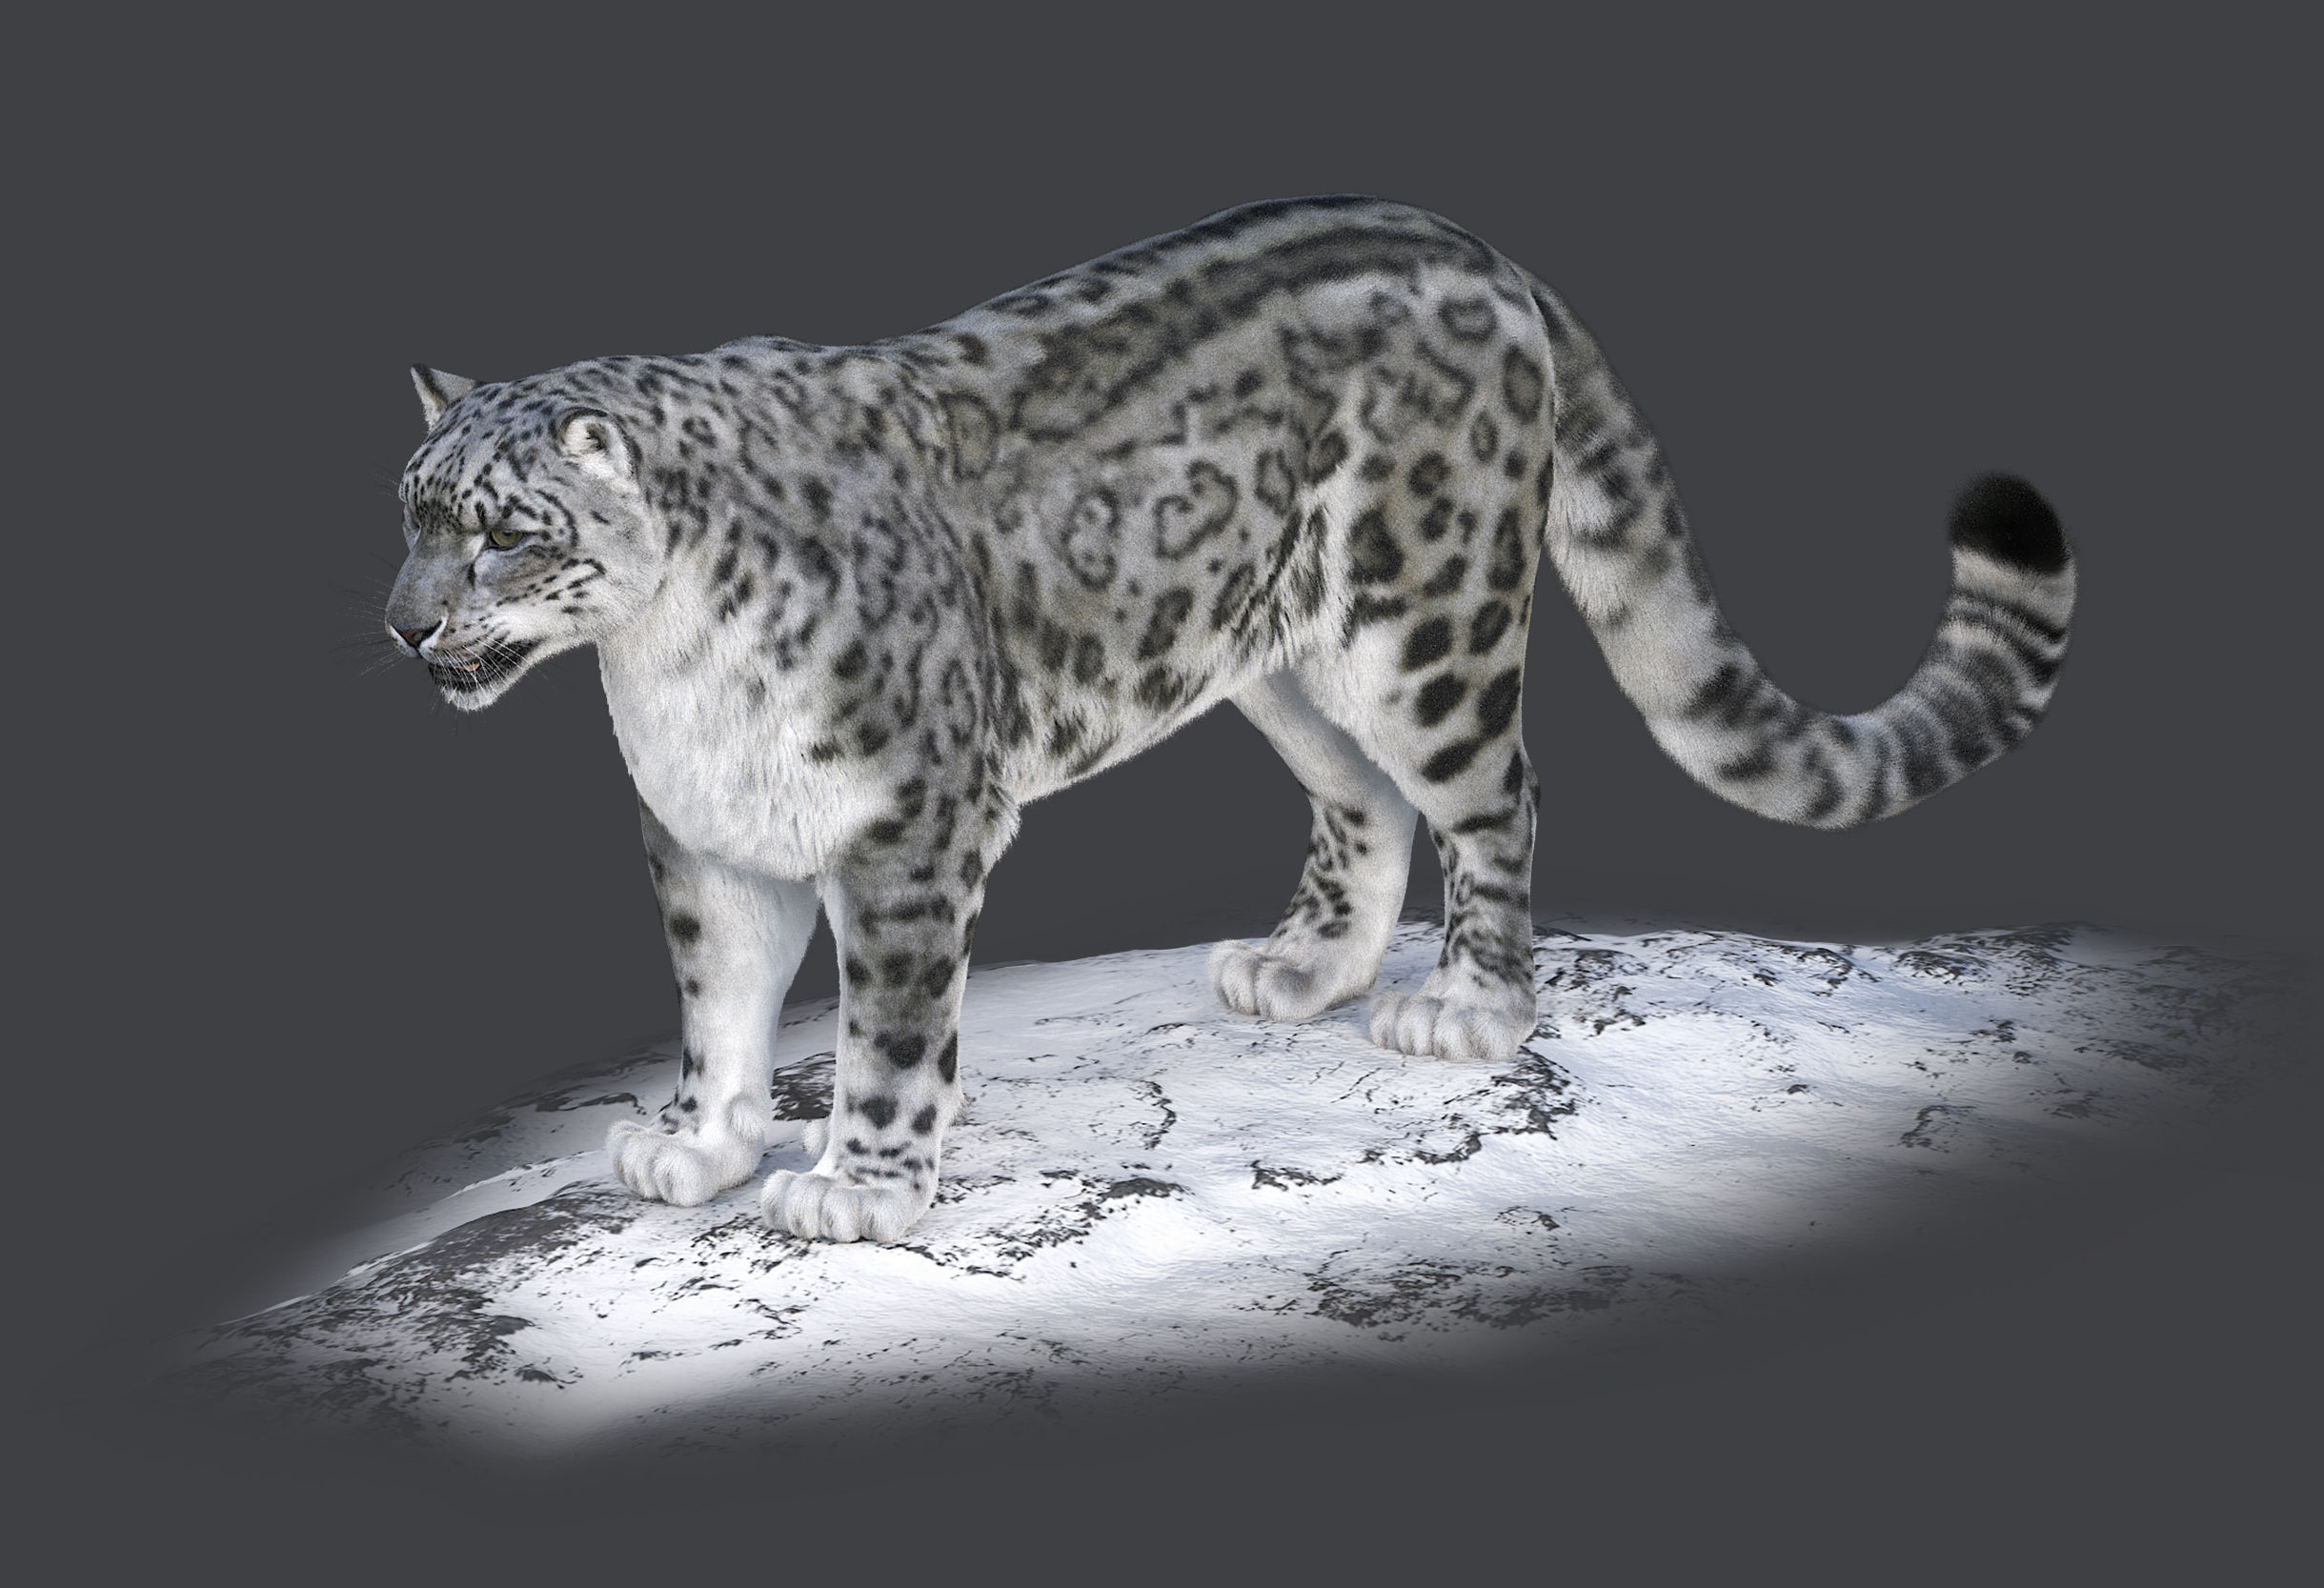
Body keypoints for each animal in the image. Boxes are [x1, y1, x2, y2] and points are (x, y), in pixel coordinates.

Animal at [387, 195, 2076, 1245]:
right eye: (405, 513)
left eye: (505, 536)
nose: (403, 623)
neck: (664, 675)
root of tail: (1471, 244)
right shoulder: (706, 839)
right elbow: (717, 1001)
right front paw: (699, 1142)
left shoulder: (905, 833)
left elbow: (890, 1027)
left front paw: (853, 1183)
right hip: (1282, 661)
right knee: (1363, 799)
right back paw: (1300, 966)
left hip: (1425, 624)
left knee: (1492, 791)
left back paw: (1466, 1005)